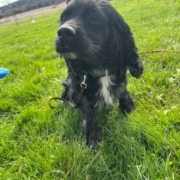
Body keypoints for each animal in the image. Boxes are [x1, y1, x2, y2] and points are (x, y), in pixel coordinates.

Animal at [54, 0, 143, 149]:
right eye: (64, 18)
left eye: (94, 18)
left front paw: (128, 109)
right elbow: (89, 115)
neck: (98, 67)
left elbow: (123, 92)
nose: (63, 32)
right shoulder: (79, 92)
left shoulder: (121, 79)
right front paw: (94, 139)